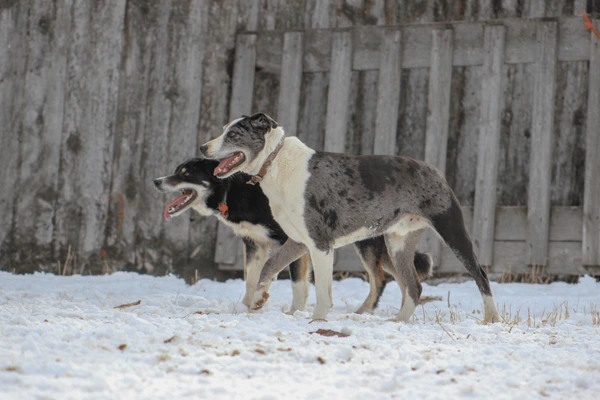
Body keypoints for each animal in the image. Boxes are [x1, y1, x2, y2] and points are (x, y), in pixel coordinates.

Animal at [200, 111, 502, 322]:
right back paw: (400, 321)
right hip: (398, 243)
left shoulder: (320, 243)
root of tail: (435, 170)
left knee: (480, 274)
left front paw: (317, 319)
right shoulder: (298, 241)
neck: (275, 162)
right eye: (224, 129)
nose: (203, 147)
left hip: (452, 229)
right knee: (414, 286)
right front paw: (259, 298)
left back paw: (492, 318)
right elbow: (269, 266)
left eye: (234, 134)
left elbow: (322, 289)